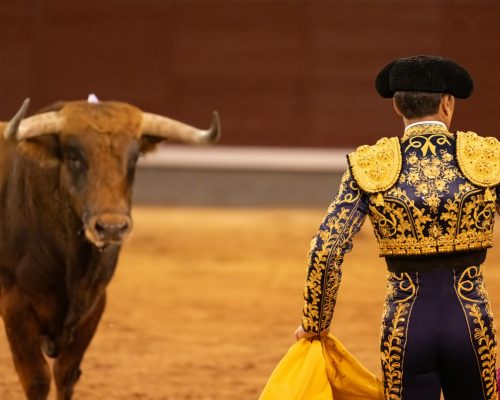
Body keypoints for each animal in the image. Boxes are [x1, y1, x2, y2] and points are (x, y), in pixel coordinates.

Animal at [0, 97, 220, 400]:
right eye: (73, 156)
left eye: (134, 157)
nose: (112, 227)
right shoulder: (15, 303)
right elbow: (36, 379)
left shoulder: (95, 303)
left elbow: (66, 374)